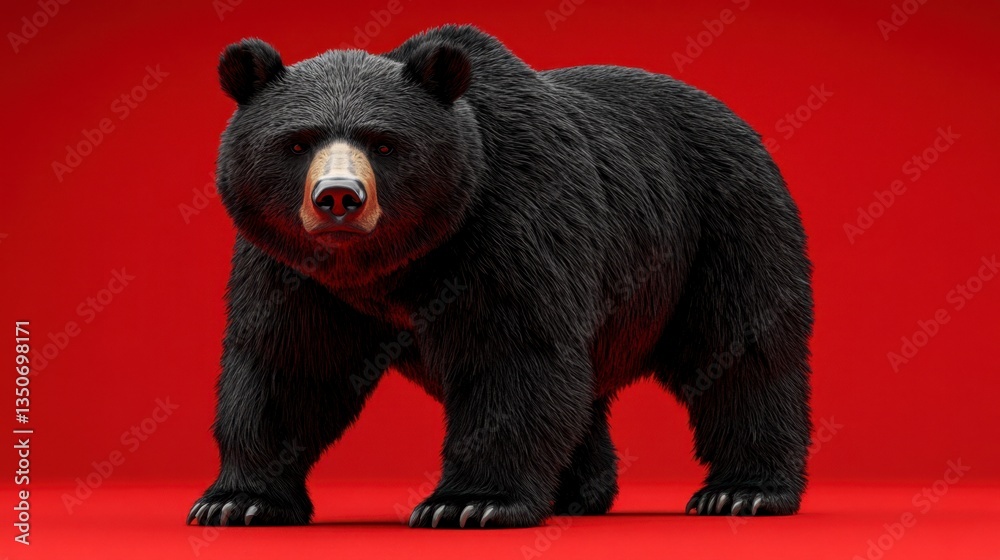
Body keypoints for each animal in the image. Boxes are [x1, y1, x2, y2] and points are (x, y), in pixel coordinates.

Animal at [187, 24, 813, 529]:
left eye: (385, 143)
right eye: (296, 141)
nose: (338, 197)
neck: (389, 269)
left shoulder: (510, 225)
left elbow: (512, 354)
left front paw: (468, 502)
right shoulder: (293, 270)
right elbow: (286, 364)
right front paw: (238, 500)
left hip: (721, 226)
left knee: (741, 350)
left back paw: (743, 491)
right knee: (587, 387)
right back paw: (577, 492)